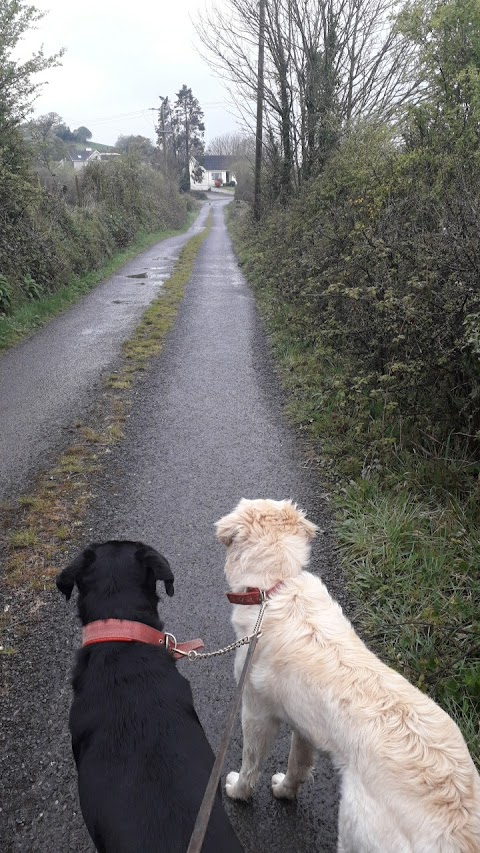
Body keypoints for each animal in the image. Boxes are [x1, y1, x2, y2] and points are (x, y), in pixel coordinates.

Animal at [217, 496, 480, 852]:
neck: (275, 588)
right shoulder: (304, 725)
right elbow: (298, 765)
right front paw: (285, 790)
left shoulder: (256, 712)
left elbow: (251, 762)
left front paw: (238, 791)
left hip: (353, 825)